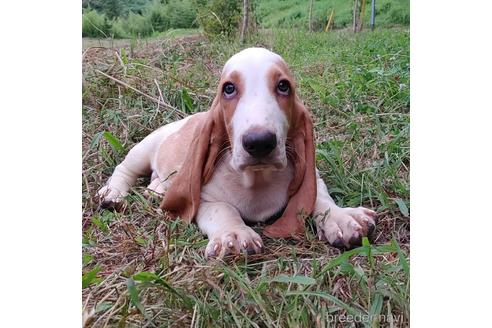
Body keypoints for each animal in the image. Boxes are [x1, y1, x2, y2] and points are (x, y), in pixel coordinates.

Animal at [99, 47, 376, 258]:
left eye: (283, 86)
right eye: (229, 89)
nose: (259, 142)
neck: (258, 177)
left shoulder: (311, 175)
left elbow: (319, 197)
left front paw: (342, 218)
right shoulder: (204, 197)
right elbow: (224, 210)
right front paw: (233, 235)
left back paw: (155, 190)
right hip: (145, 147)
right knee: (124, 169)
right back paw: (112, 195)